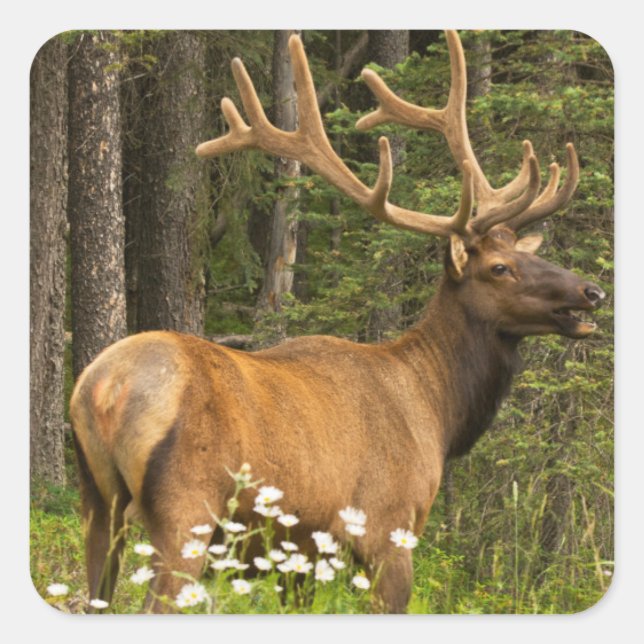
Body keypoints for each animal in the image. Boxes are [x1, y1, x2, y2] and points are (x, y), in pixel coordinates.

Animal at [70, 30, 605, 614]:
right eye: (500, 268)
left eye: (525, 255)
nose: (592, 292)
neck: (437, 410)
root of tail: (103, 389)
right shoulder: (388, 527)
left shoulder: (300, 558)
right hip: (185, 508)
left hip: (98, 505)